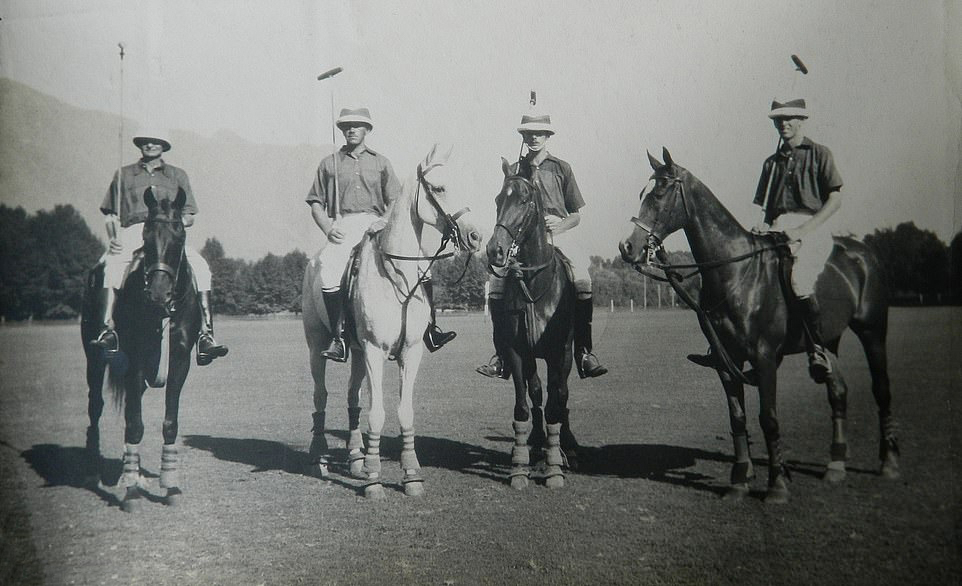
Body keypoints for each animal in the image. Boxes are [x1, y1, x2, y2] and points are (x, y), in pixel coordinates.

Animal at [82, 188, 201, 512]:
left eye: (180, 233)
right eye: (146, 234)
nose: (158, 293)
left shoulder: (179, 360)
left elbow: (168, 422)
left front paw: (170, 485)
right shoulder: (134, 360)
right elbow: (135, 425)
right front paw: (132, 492)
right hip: (94, 358)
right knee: (95, 406)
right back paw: (95, 468)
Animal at [300, 144, 480, 496]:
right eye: (439, 188)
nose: (475, 236)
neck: (397, 273)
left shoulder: (410, 350)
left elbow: (403, 411)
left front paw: (410, 474)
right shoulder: (374, 350)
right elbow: (378, 413)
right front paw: (373, 478)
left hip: (355, 351)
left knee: (352, 397)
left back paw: (355, 459)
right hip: (316, 345)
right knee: (321, 395)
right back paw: (319, 458)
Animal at [488, 159, 576, 488]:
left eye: (524, 201)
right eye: (498, 201)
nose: (495, 250)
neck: (535, 284)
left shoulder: (557, 353)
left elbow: (555, 403)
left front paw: (554, 468)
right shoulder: (517, 352)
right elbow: (524, 405)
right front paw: (520, 465)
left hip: (567, 354)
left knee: (561, 395)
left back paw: (566, 448)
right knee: (538, 392)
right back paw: (538, 446)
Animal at [620, 149, 896, 502]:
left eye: (659, 192)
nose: (627, 247)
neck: (735, 273)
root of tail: (863, 252)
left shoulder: (764, 358)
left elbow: (769, 418)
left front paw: (777, 485)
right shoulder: (726, 360)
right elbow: (737, 417)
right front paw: (739, 480)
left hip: (873, 329)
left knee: (881, 388)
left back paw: (889, 462)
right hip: (829, 340)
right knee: (838, 391)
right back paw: (835, 465)